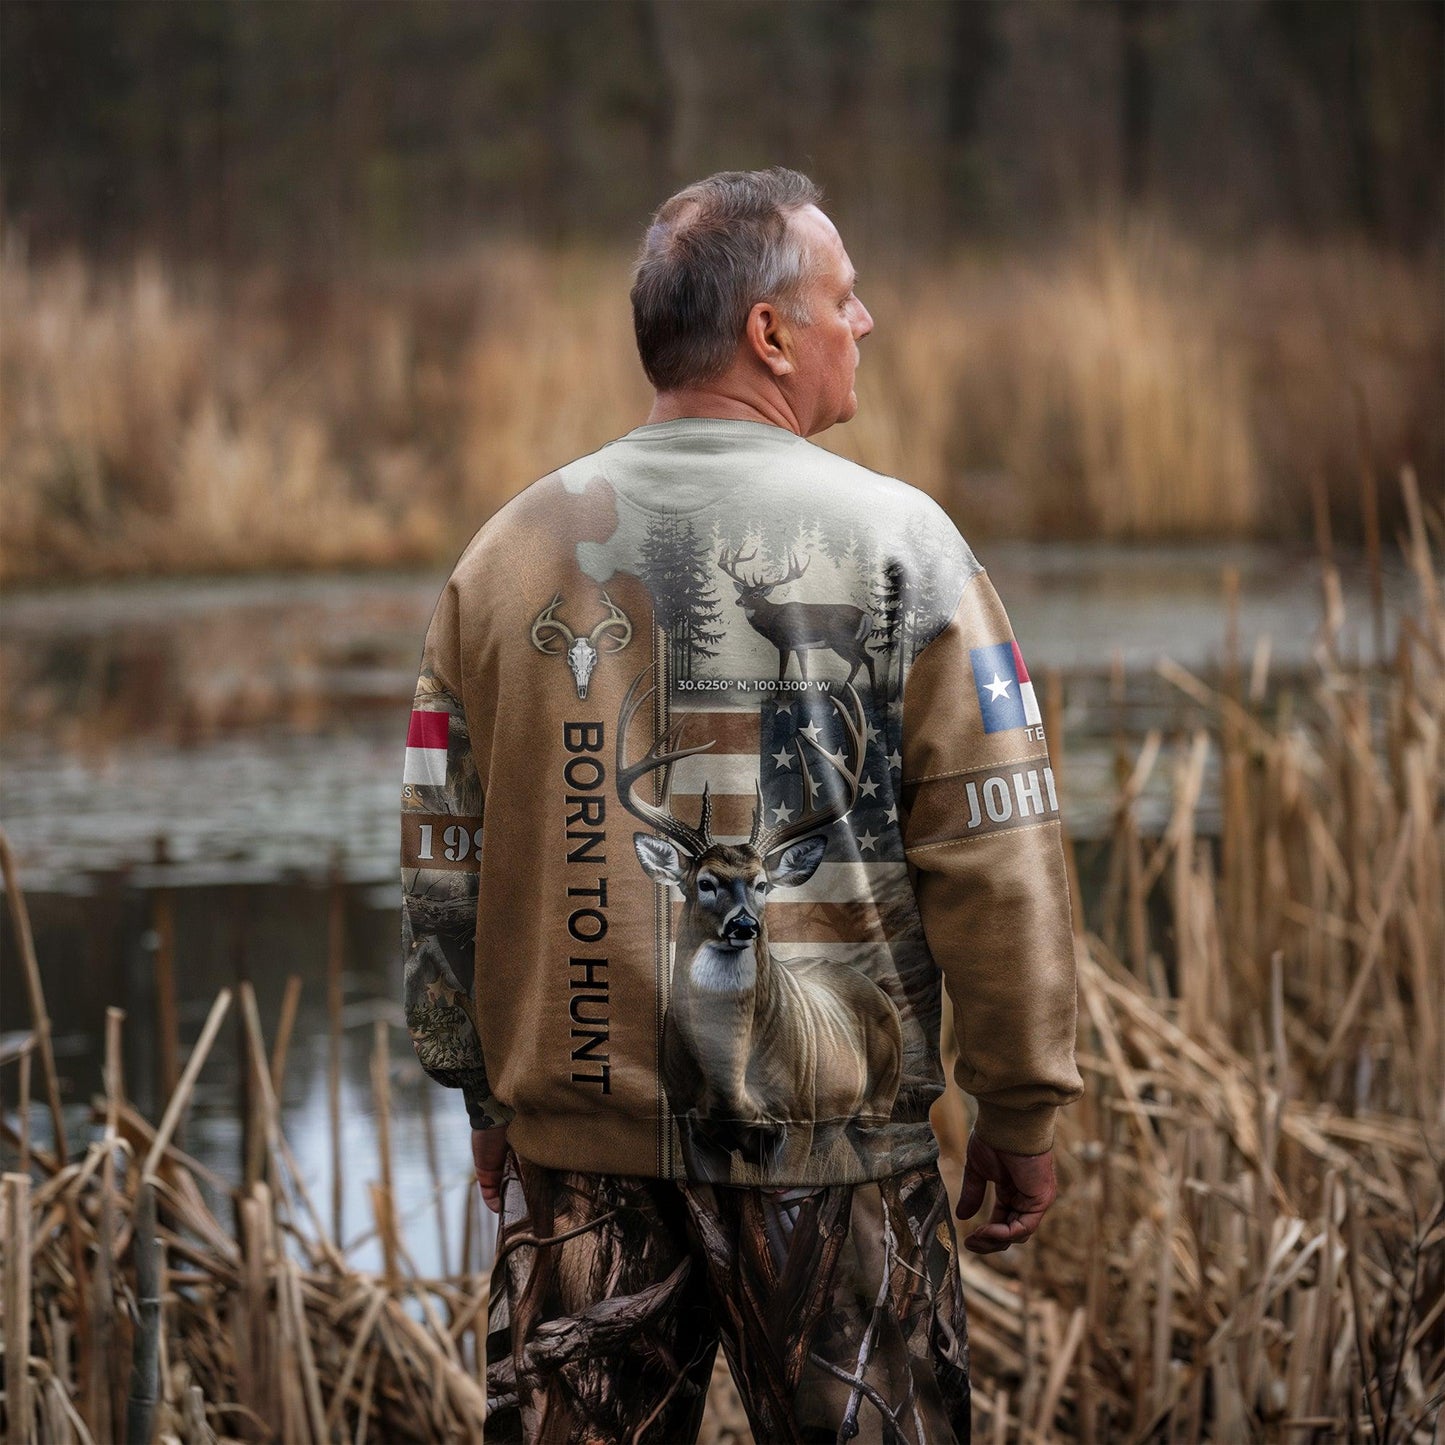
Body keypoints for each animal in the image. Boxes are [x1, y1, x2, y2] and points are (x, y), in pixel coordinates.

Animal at [615, 660, 904, 1180]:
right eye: (705, 882)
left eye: (764, 884)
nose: (744, 925)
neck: (730, 1078)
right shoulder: (689, 1123)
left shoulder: (797, 1120)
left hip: (877, 1108)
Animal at [717, 544, 882, 700]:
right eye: (743, 592)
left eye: (756, 594)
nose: (739, 601)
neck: (771, 618)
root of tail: (866, 616)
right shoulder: (801, 647)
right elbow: (804, 670)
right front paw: (807, 694)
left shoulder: (785, 643)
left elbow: (782, 670)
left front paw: (778, 697)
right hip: (859, 642)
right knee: (867, 660)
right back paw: (870, 693)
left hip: (842, 641)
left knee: (859, 661)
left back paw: (852, 695)